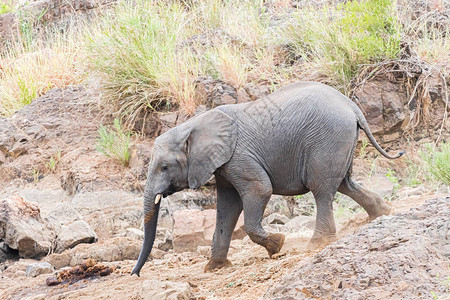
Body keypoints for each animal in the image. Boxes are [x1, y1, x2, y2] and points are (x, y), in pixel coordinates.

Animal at [130, 81, 404, 276]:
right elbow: (227, 207)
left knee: (322, 189)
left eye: (164, 167)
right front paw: (215, 268)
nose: (135, 274)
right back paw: (382, 213)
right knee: (345, 183)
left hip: (327, 140)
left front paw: (277, 245)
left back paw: (317, 244)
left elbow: (260, 190)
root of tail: (353, 107)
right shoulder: (224, 165)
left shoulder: (238, 156)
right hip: (340, 141)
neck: (193, 125)